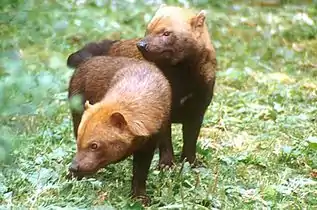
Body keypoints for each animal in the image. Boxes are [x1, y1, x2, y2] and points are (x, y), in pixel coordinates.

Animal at [67, 4, 217, 167]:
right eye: (148, 29)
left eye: (166, 33)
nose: (142, 45)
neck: (182, 84)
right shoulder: (163, 114)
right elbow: (165, 141)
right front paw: (166, 164)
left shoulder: (198, 108)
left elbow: (191, 140)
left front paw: (190, 163)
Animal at [67, 55, 170, 203]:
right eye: (78, 142)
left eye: (94, 145)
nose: (73, 167)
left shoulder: (149, 143)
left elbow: (140, 173)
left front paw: (140, 197)